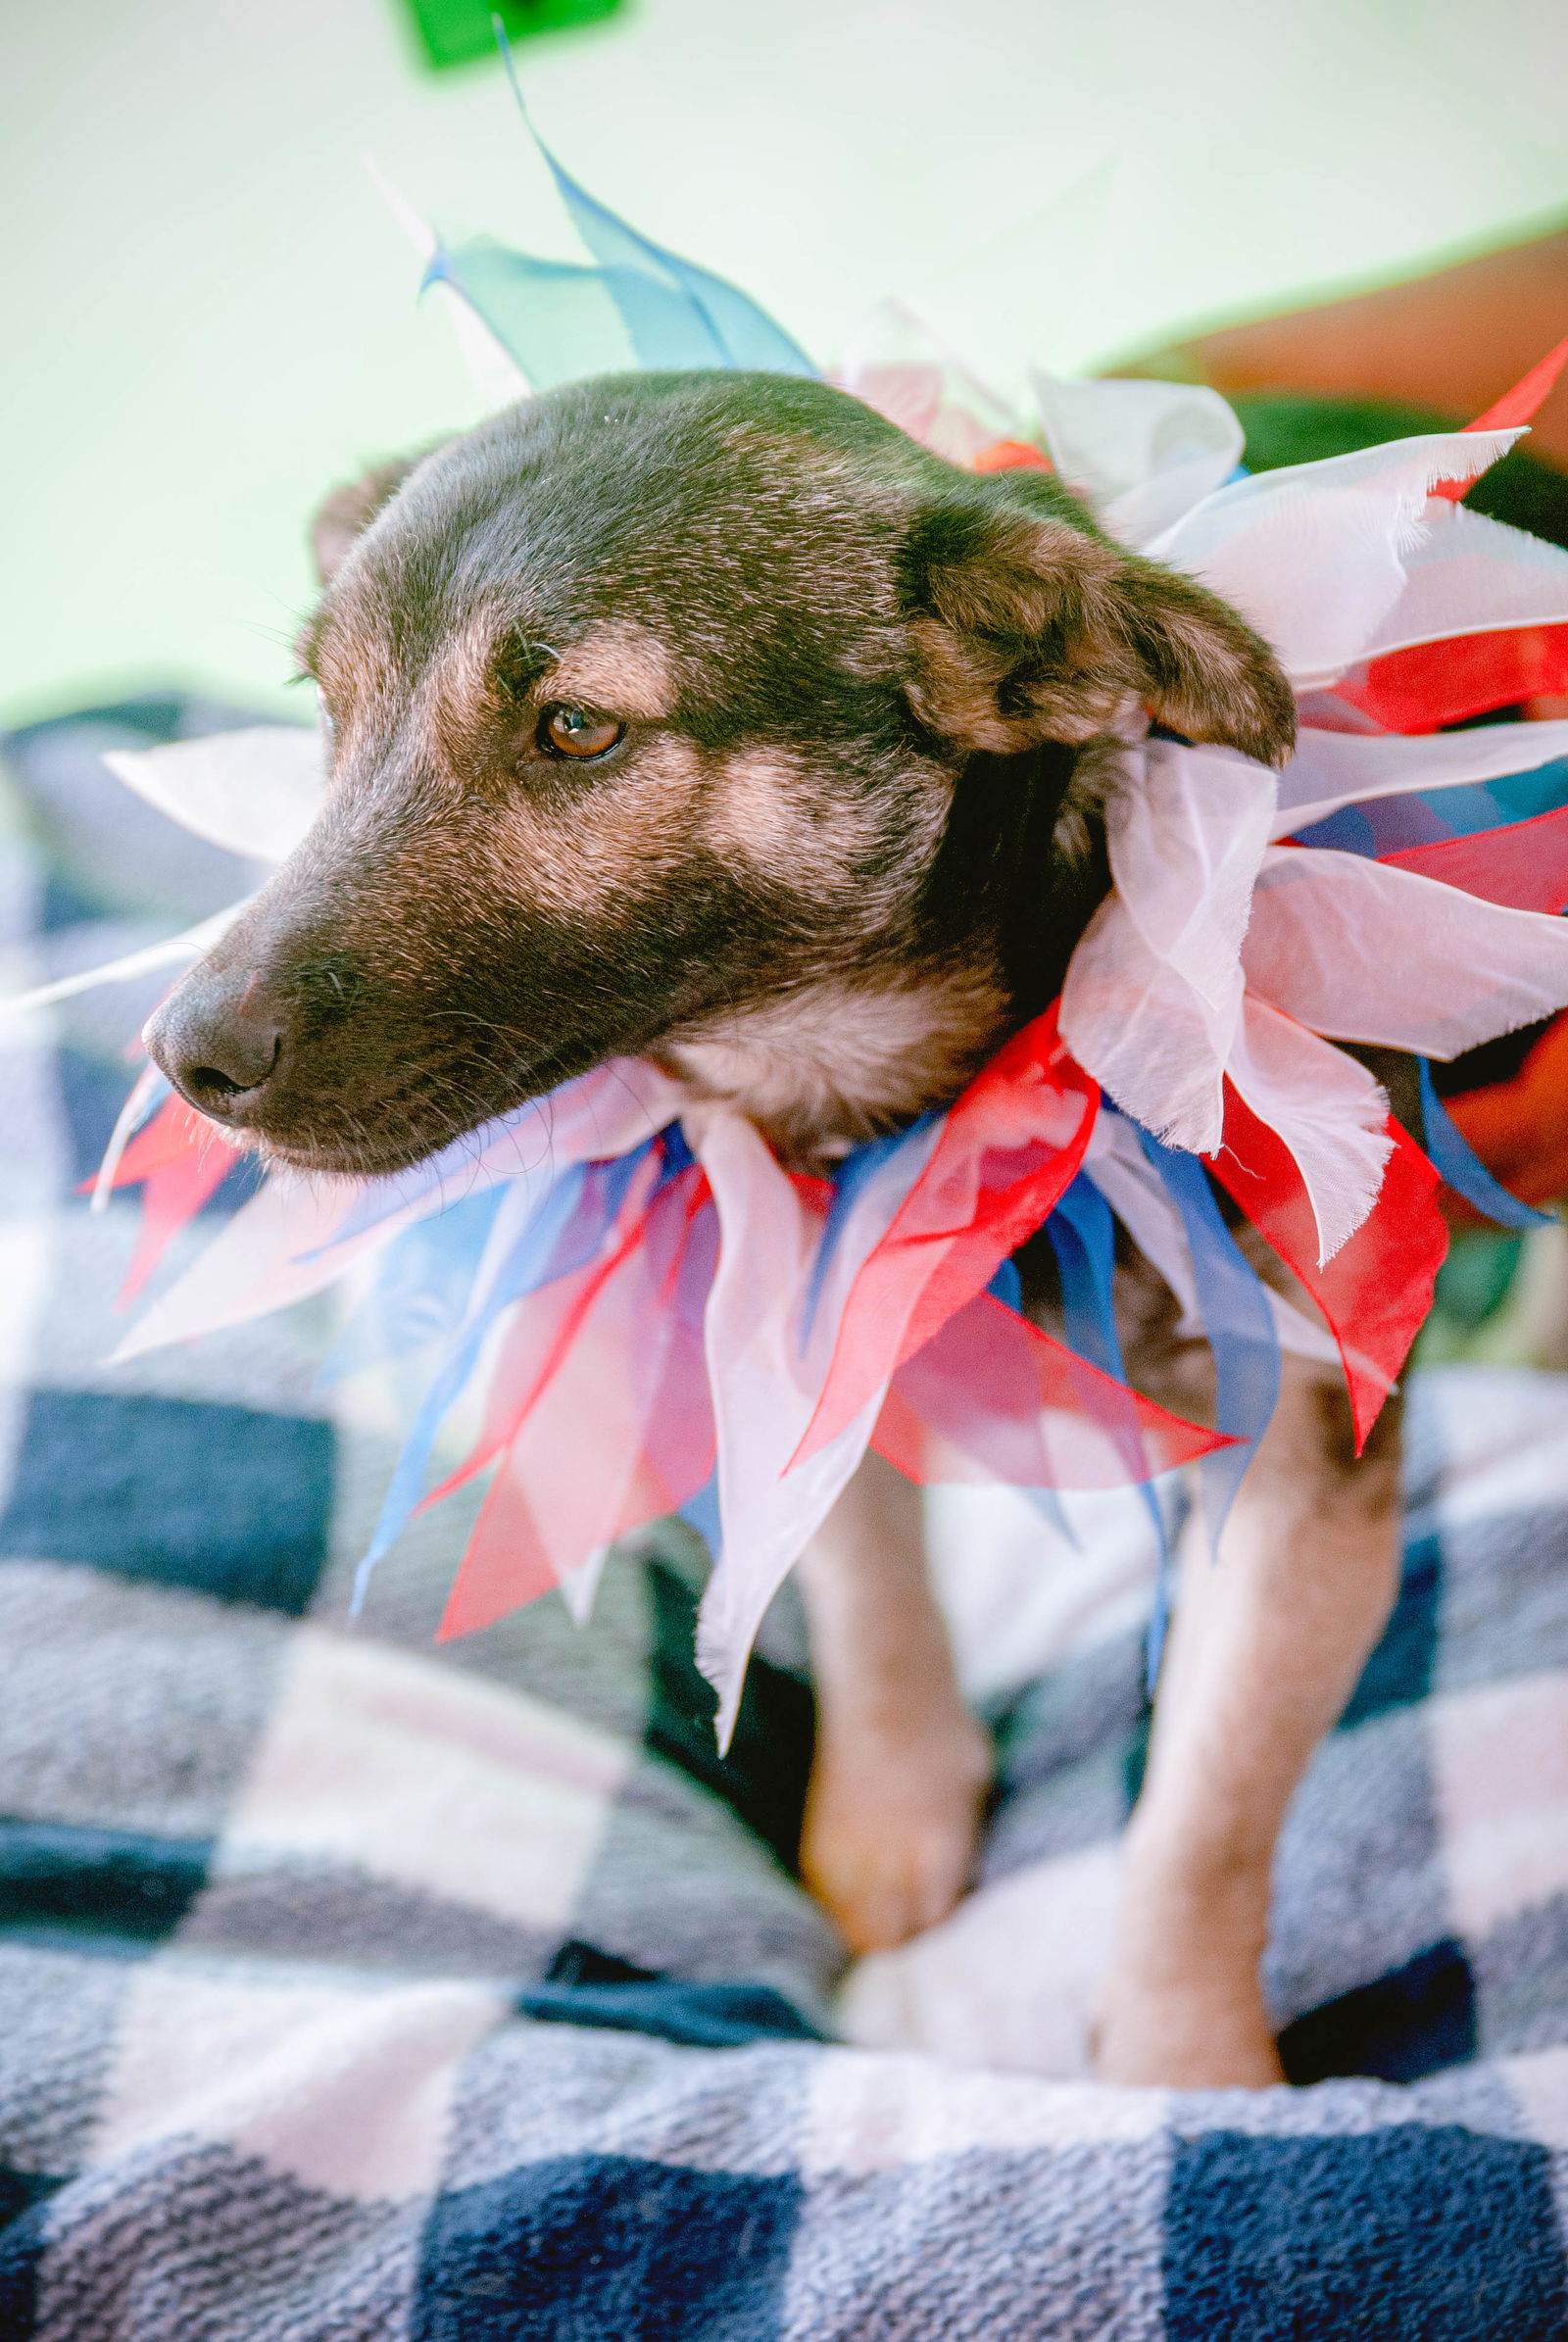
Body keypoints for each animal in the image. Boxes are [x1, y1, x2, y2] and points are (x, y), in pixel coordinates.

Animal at [140, 374, 1405, 2098]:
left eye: (579, 729)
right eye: (325, 711)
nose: (178, 1059)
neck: (905, 1081)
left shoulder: (1309, 1454)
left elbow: (1206, 1810)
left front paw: (1184, 2064)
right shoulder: (802, 1298)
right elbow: (865, 1596)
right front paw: (890, 1827)